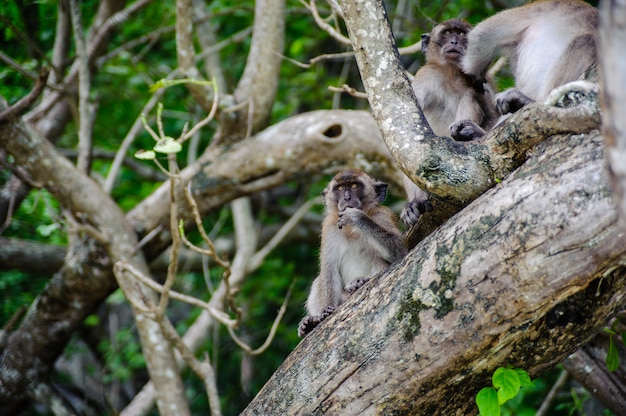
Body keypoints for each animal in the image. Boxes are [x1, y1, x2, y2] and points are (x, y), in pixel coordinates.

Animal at [296, 171, 404, 336]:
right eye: (340, 188)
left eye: (354, 186)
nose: (346, 198)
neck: (349, 229)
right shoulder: (329, 227)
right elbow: (329, 271)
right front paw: (325, 312)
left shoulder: (381, 214)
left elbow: (399, 251)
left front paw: (355, 217)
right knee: (318, 281)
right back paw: (310, 324)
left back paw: (360, 283)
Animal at [400, 17, 498, 228]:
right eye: (446, 33)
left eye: (461, 34)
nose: (454, 41)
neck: (452, 73)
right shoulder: (427, 75)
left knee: (470, 95)